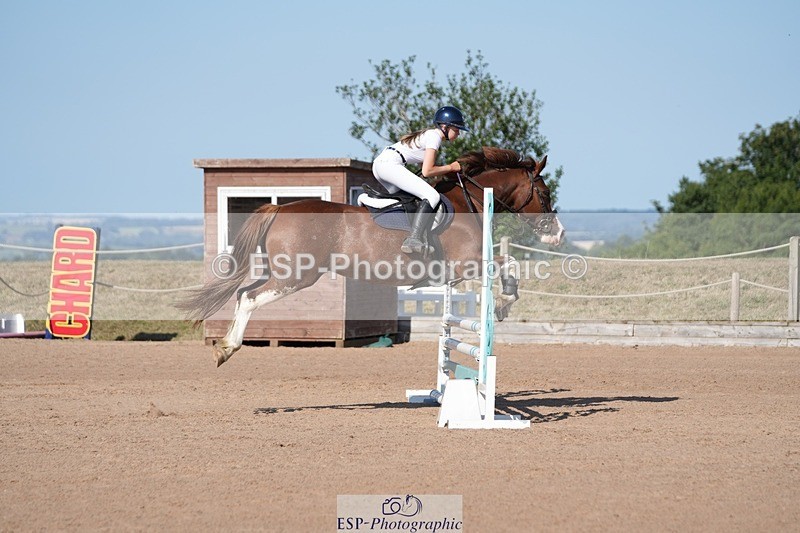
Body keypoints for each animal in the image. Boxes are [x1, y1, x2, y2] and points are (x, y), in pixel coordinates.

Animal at [179, 147, 565, 366]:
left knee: (243, 292)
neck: (468, 201)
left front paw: (504, 303)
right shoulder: (468, 263)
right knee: (250, 298)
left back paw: (224, 347)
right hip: (295, 277)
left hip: (281, 272)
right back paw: (227, 348)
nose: (559, 234)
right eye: (545, 194)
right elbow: (509, 265)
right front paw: (505, 303)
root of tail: (280, 208)